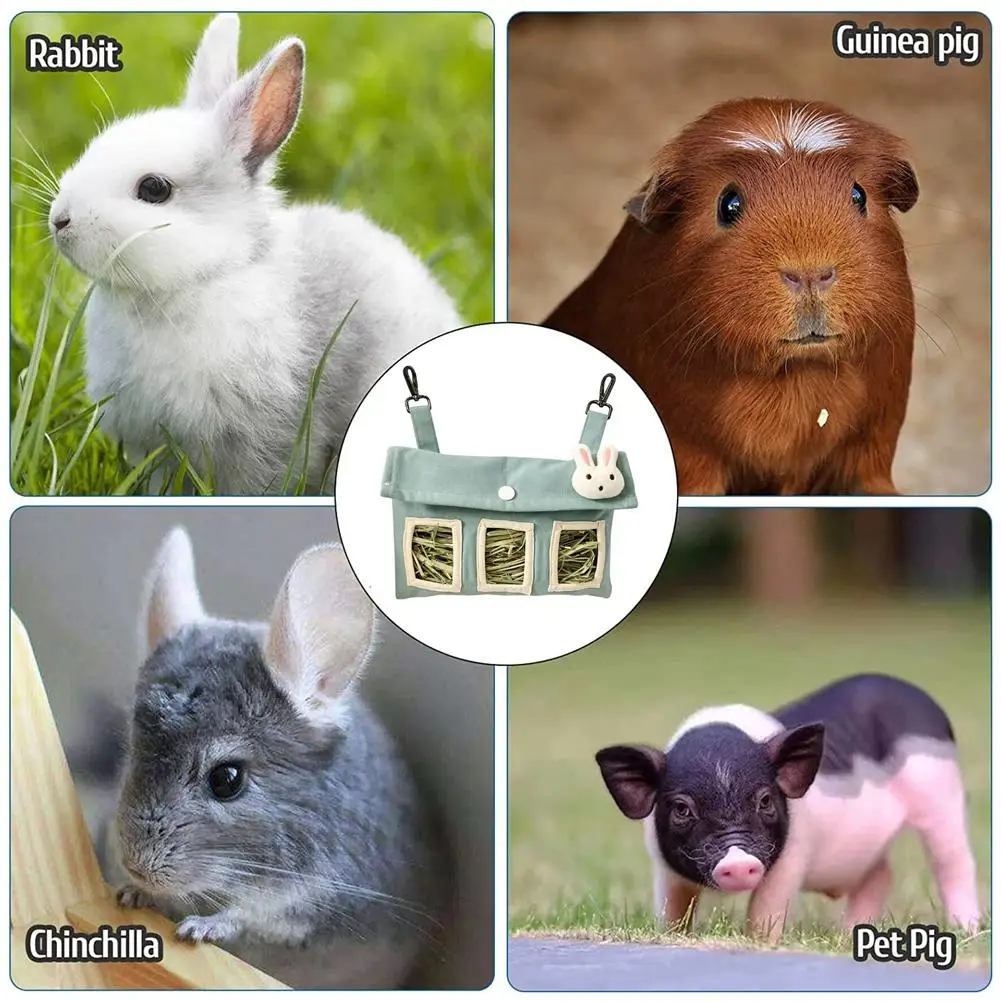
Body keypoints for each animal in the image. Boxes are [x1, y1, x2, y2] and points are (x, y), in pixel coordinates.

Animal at [106, 527, 443, 987]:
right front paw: (132, 893)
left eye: (226, 779)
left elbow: (252, 915)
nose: (136, 866)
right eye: (132, 751)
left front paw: (201, 927)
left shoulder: (322, 899)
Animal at [596, 673, 980, 941]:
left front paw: (762, 942)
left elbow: (766, 907)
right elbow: (672, 908)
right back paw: (849, 935)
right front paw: (671, 936)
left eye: (765, 800)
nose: (738, 861)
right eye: (681, 809)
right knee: (881, 875)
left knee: (953, 861)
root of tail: (925, 702)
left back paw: (968, 929)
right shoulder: (663, 867)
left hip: (939, 788)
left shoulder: (794, 854)